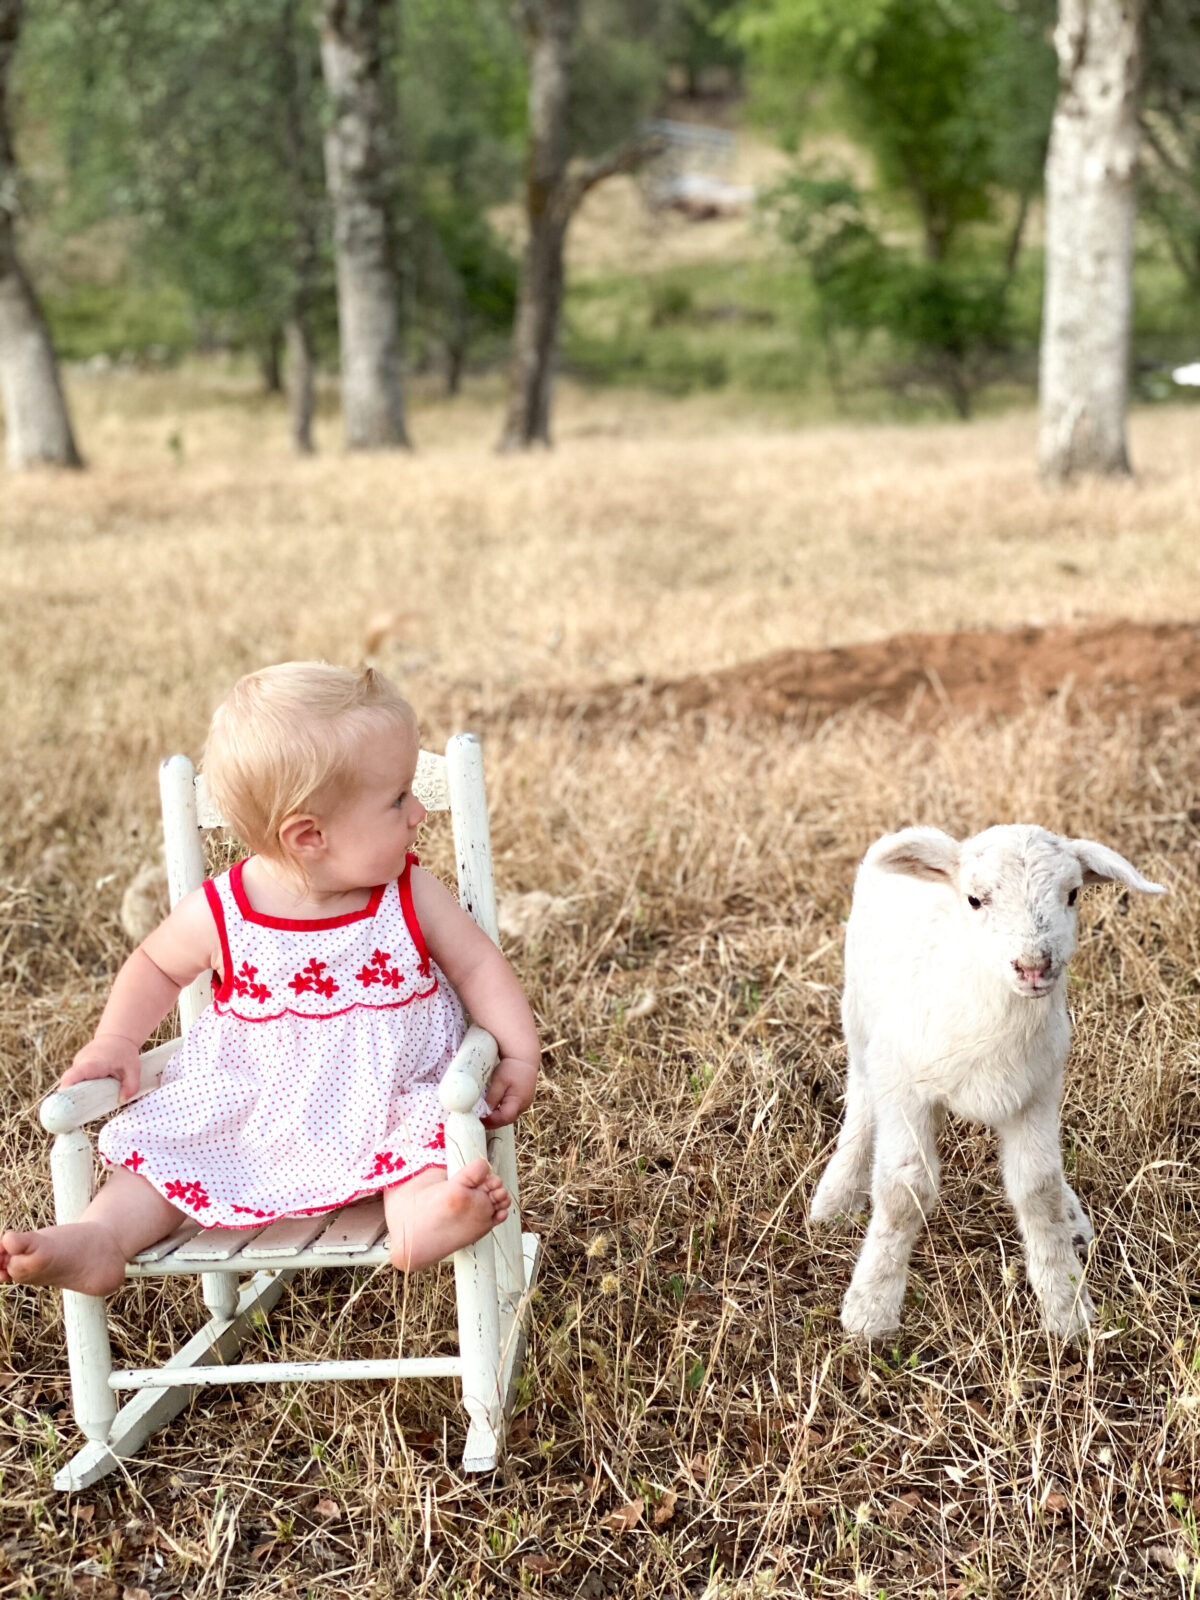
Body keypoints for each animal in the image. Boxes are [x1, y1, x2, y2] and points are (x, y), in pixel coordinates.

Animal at [811, 824, 1165, 1341]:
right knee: (860, 1099)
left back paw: (1074, 1218)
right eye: (975, 899)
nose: (1035, 966)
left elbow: (1038, 1187)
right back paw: (836, 1195)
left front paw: (1066, 1306)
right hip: (858, 1014)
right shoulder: (905, 1087)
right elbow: (904, 1192)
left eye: (1074, 894)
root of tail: (924, 832)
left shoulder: (1037, 1093)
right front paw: (872, 1307)